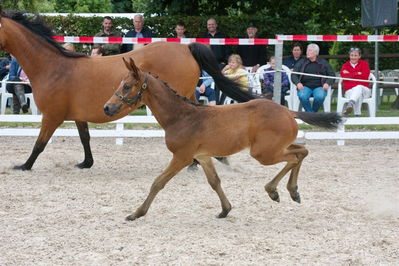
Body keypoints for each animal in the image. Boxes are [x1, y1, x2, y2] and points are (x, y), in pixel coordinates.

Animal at [104, 58, 342, 220]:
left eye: (127, 86)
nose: (107, 107)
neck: (181, 116)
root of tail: (287, 111)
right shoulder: (203, 156)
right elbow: (214, 182)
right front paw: (225, 210)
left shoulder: (182, 157)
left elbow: (158, 182)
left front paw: (137, 213)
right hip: (273, 148)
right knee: (302, 150)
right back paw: (292, 192)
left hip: (263, 153)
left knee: (295, 156)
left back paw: (275, 190)